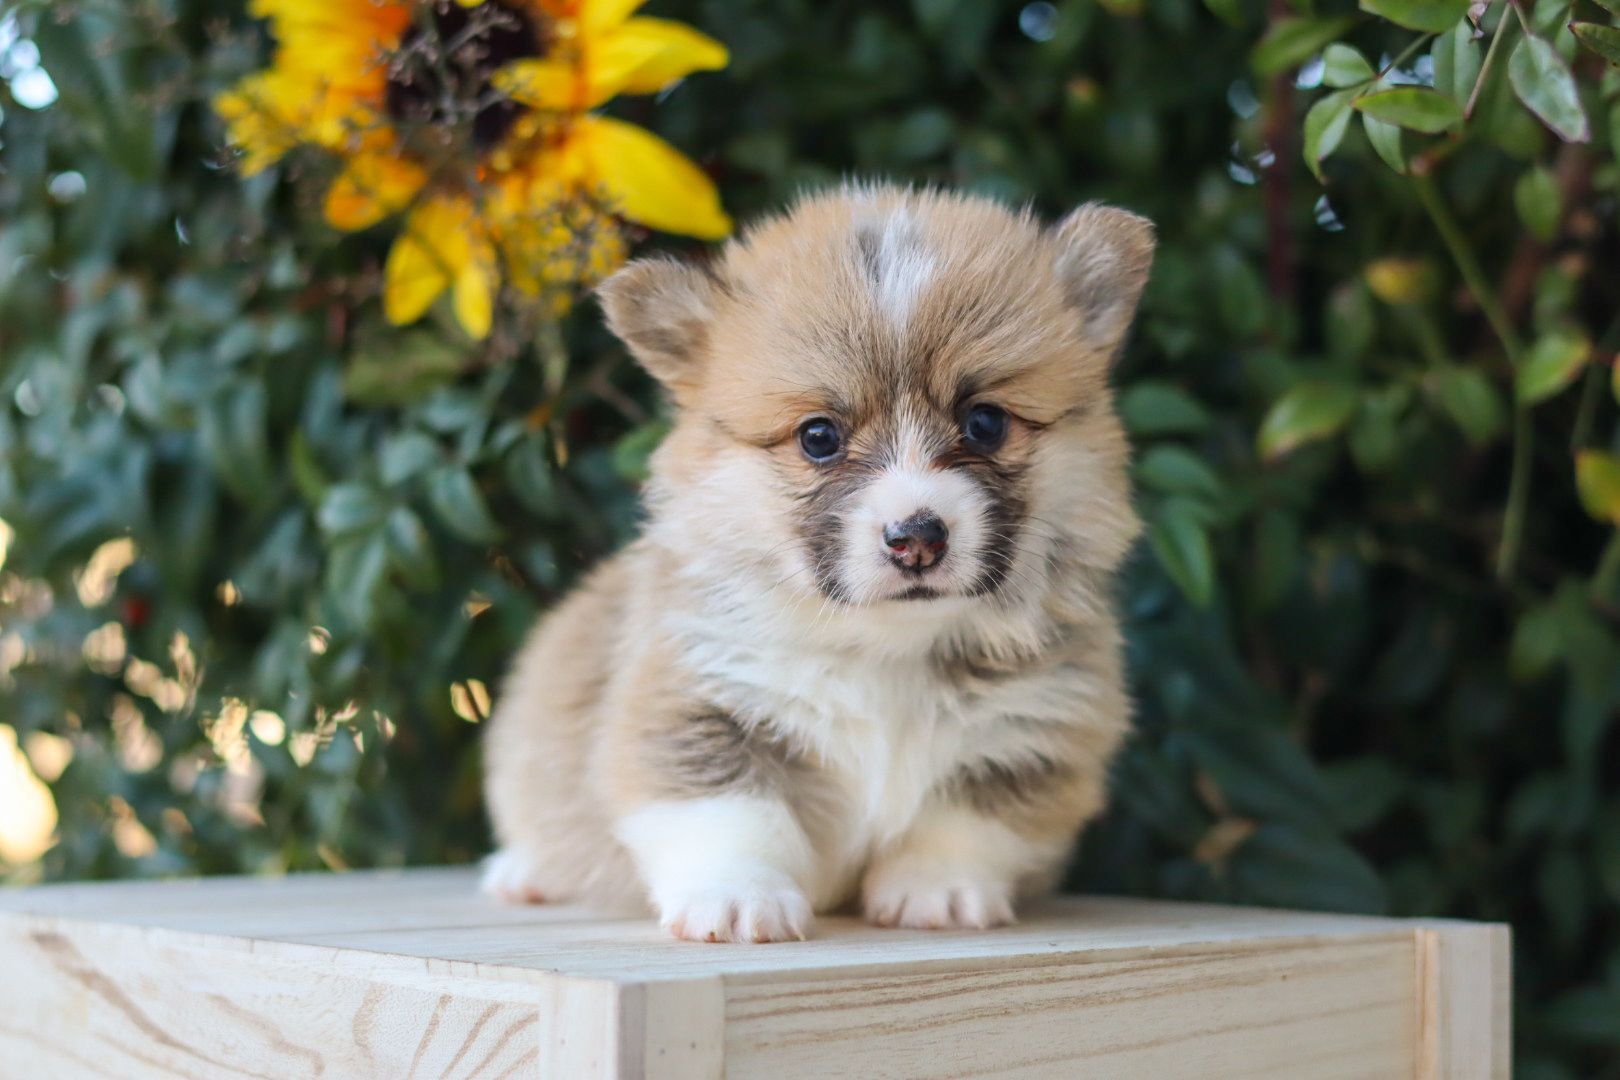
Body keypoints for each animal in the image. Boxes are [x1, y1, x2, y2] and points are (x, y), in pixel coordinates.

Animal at [481, 184, 1153, 942]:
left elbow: (964, 821)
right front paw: (738, 900)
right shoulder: (696, 708)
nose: (917, 537)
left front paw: (937, 893)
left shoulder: (1029, 734)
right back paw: (524, 873)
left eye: (985, 423)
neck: (886, 649)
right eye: (819, 437)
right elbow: (732, 814)